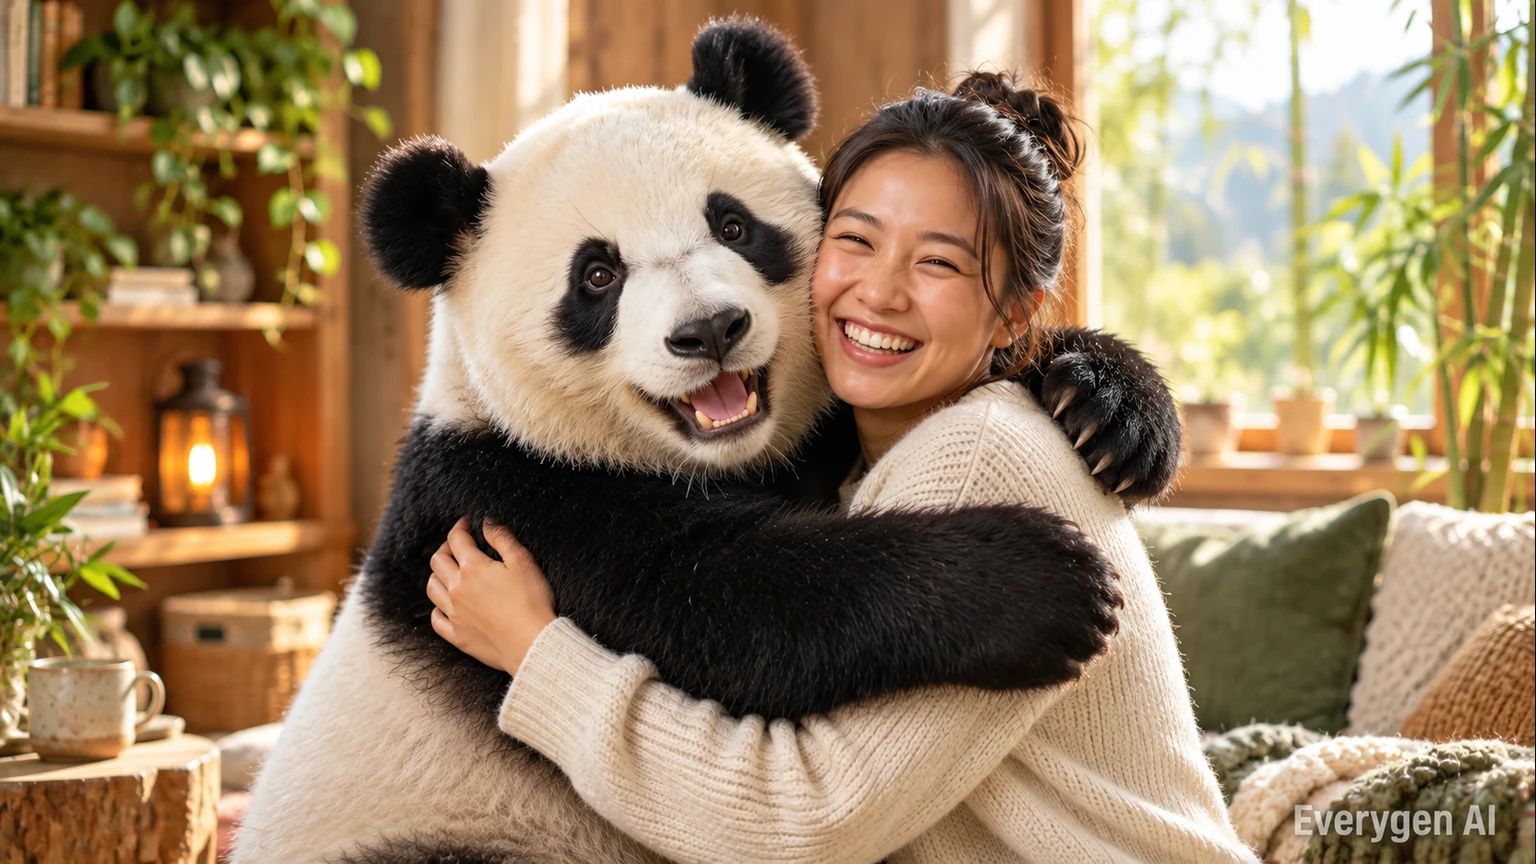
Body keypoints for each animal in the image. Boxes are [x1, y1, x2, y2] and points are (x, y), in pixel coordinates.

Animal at [236, 18, 1181, 864]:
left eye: (732, 225)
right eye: (597, 275)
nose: (711, 330)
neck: (720, 461)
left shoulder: (805, 436)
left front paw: (1109, 410)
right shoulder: (508, 498)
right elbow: (727, 602)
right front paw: (1040, 584)